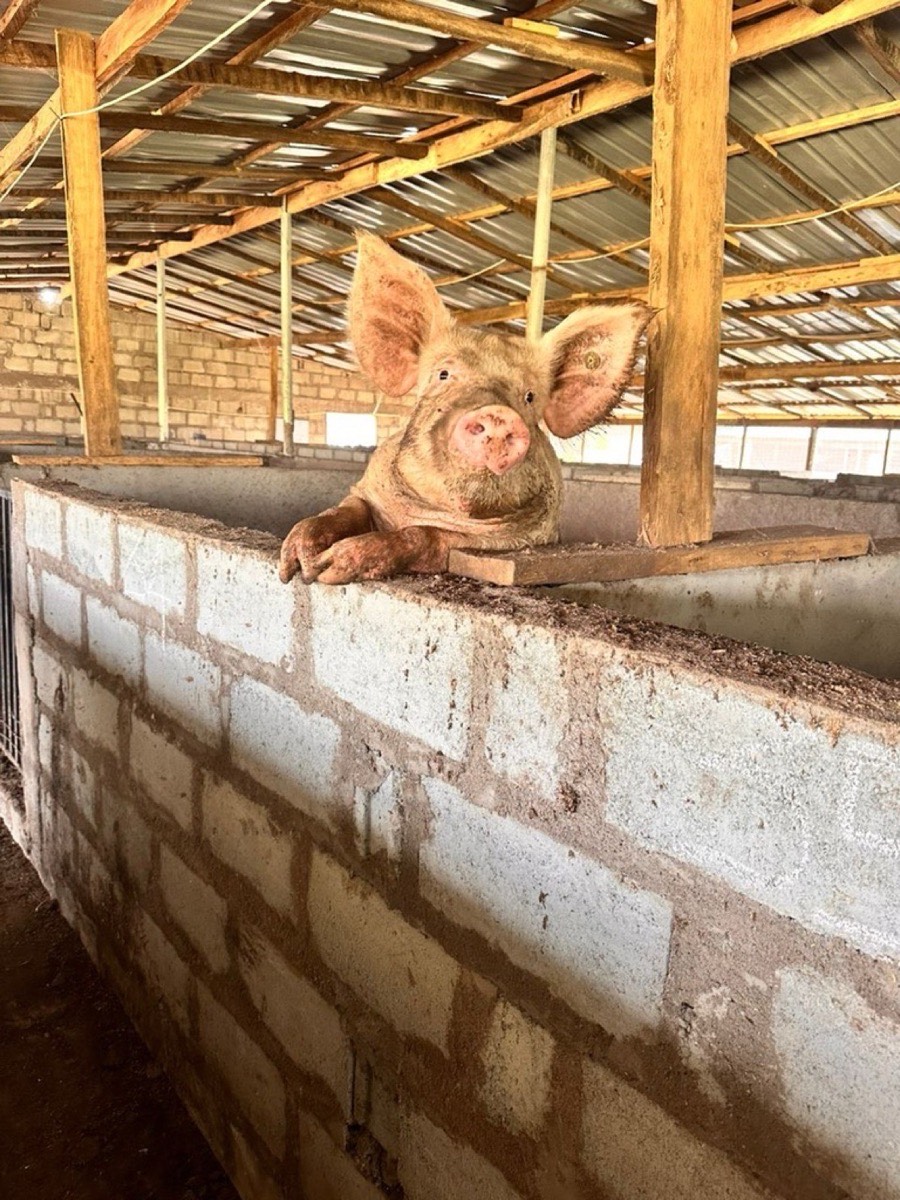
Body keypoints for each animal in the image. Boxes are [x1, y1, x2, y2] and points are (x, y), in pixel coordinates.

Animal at [278, 232, 651, 585]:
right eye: (443, 374)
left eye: (530, 397)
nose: (498, 415)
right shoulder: (366, 490)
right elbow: (340, 512)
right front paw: (298, 565)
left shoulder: (507, 542)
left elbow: (424, 537)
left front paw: (329, 568)